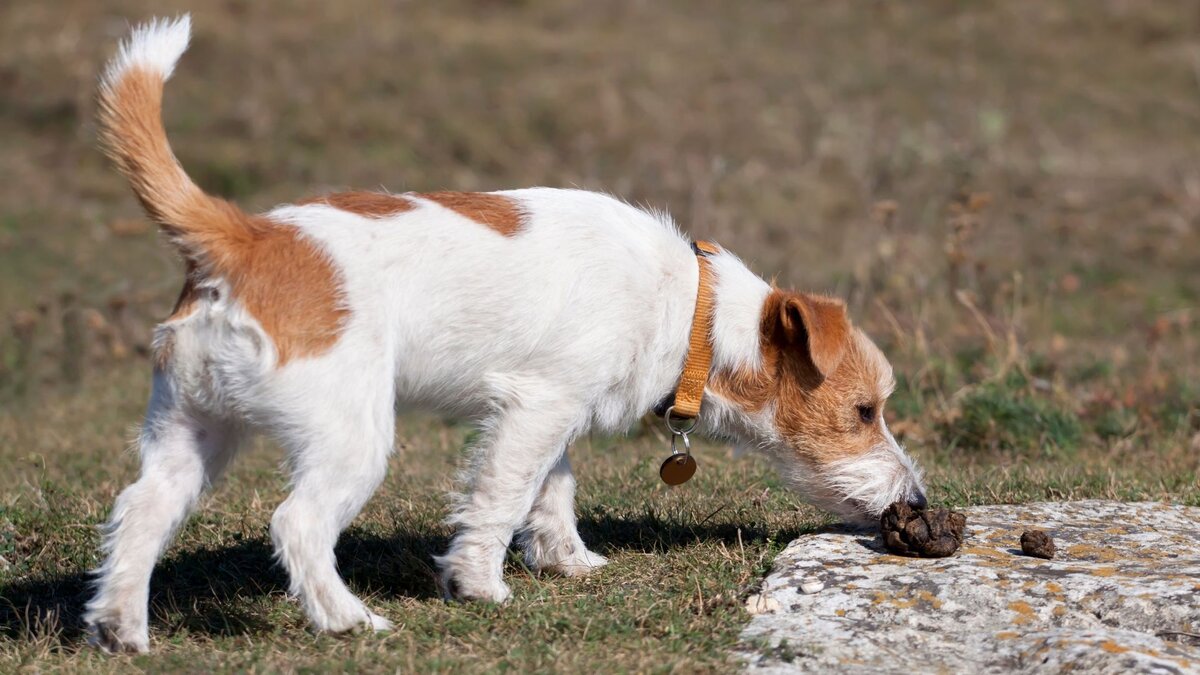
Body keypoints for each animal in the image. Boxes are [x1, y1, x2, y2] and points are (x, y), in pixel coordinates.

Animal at [84, 15, 926, 653]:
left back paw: (122, 628)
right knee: (296, 523)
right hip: (351, 435)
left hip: (193, 426)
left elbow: (551, 490)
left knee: (140, 510)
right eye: (864, 411)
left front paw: (570, 561)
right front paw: (480, 584)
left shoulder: (546, 413)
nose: (918, 499)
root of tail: (242, 236)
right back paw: (348, 618)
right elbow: (500, 497)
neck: (694, 310)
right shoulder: (537, 408)